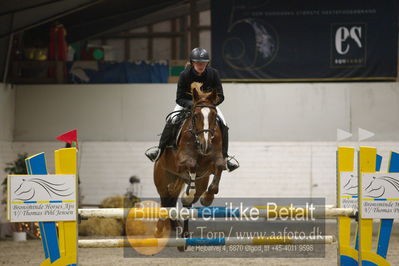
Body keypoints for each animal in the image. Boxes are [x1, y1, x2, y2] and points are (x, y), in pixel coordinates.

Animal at [154, 81, 227, 239]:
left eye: (214, 115)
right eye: (196, 115)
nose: (205, 146)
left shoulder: (215, 161)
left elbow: (218, 167)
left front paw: (207, 198)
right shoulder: (181, 161)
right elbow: (192, 164)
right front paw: (189, 194)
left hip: (199, 182)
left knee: (182, 203)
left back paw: (183, 231)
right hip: (162, 178)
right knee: (165, 201)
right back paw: (159, 229)